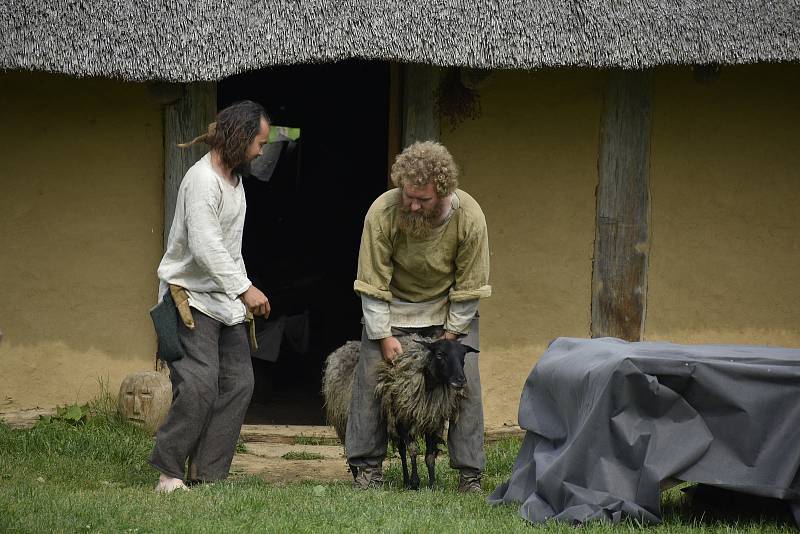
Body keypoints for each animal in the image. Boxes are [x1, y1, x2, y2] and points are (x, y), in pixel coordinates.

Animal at [322, 338, 478, 492]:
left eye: (463, 355)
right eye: (439, 354)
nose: (460, 380)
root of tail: (342, 349)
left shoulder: (431, 423)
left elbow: (429, 456)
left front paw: (432, 485)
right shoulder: (403, 420)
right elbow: (413, 450)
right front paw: (415, 482)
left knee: (402, 450)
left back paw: (405, 481)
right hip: (344, 421)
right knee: (351, 451)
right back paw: (358, 478)